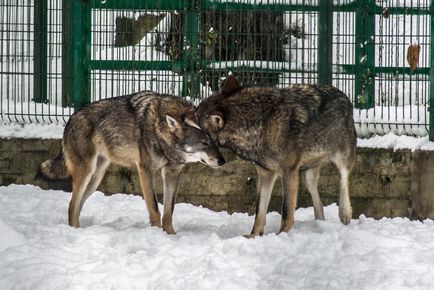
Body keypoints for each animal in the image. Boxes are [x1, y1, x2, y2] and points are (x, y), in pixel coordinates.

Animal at [39, 92, 227, 234]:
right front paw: (157, 235)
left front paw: (171, 236)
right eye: (204, 143)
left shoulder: (172, 174)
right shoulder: (145, 171)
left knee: (77, 206)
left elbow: (168, 212)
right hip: (86, 173)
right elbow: (155, 209)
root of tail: (71, 118)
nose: (222, 161)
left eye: (215, 142)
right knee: (72, 206)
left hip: (95, 179)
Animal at [197, 76, 356, 238]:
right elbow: (259, 211)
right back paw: (319, 224)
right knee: (320, 205)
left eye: (195, 118)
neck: (260, 125)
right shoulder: (265, 174)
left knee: (344, 180)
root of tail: (343, 95)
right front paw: (254, 235)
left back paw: (345, 213)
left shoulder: (289, 172)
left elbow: (286, 211)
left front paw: (282, 234)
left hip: (342, 159)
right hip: (307, 177)